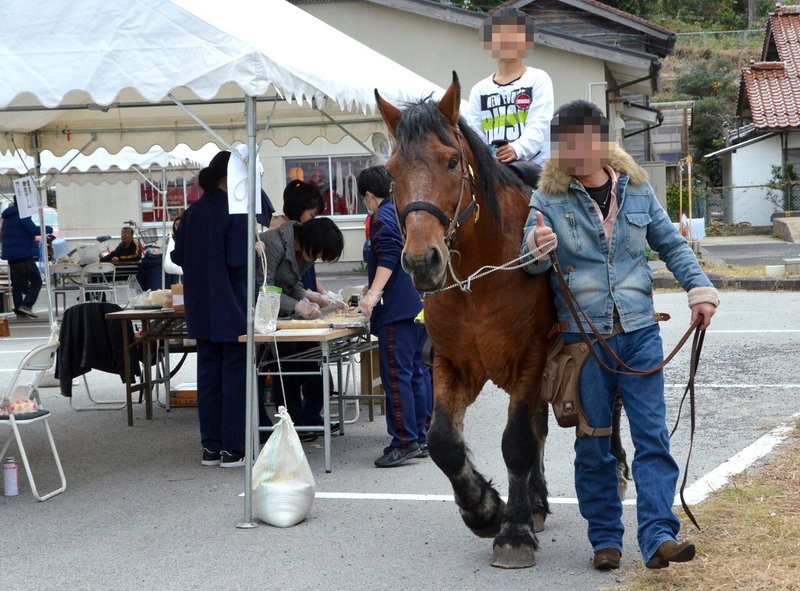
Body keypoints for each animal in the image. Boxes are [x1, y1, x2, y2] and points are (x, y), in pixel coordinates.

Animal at [376, 74, 632, 568]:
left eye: (451, 161)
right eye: (392, 172)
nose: (421, 261)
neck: (482, 276)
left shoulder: (531, 359)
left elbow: (516, 442)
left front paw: (512, 533)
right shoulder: (451, 364)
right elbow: (443, 441)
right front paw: (484, 509)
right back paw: (534, 502)